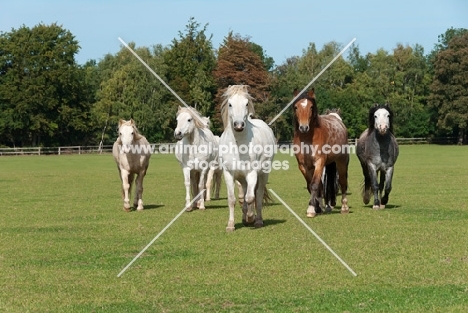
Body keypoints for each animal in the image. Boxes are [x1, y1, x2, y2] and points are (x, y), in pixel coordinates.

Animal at [218, 84, 276, 230]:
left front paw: (251, 218)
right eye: (230, 104)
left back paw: (258, 220)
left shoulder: (252, 173)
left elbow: (250, 198)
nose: (238, 125)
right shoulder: (229, 174)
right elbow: (232, 199)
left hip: (263, 174)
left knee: (258, 196)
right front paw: (231, 225)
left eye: (246, 103)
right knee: (243, 195)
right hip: (242, 179)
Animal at [290, 88, 350, 217]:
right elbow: (311, 185)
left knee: (343, 182)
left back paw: (344, 207)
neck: (307, 138)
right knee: (322, 186)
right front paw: (316, 207)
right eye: (296, 107)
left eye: (311, 107)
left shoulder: (319, 162)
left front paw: (311, 209)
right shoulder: (303, 166)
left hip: (341, 162)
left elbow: (314, 185)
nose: (303, 128)